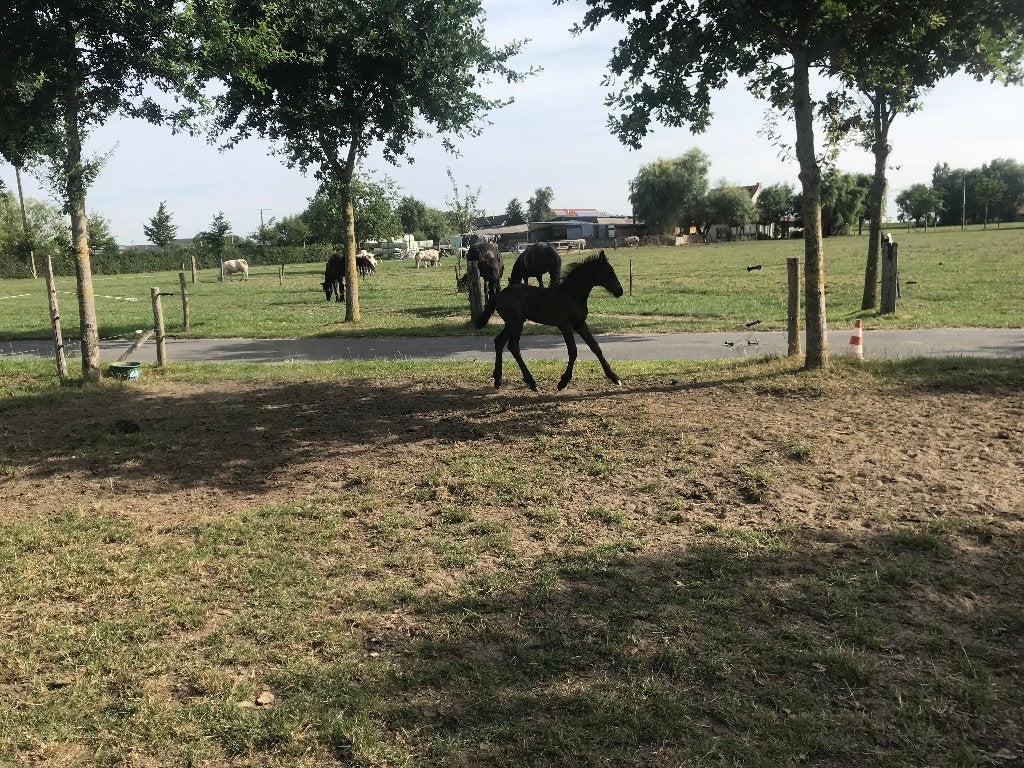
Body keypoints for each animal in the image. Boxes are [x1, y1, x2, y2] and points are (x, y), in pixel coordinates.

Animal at [474, 250, 624, 391]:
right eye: (609, 273)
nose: (620, 291)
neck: (572, 295)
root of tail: (498, 295)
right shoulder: (565, 325)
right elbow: (573, 351)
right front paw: (563, 382)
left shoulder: (580, 323)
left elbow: (595, 347)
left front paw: (614, 377)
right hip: (516, 322)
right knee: (513, 346)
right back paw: (532, 383)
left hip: (511, 323)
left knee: (499, 341)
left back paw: (498, 379)